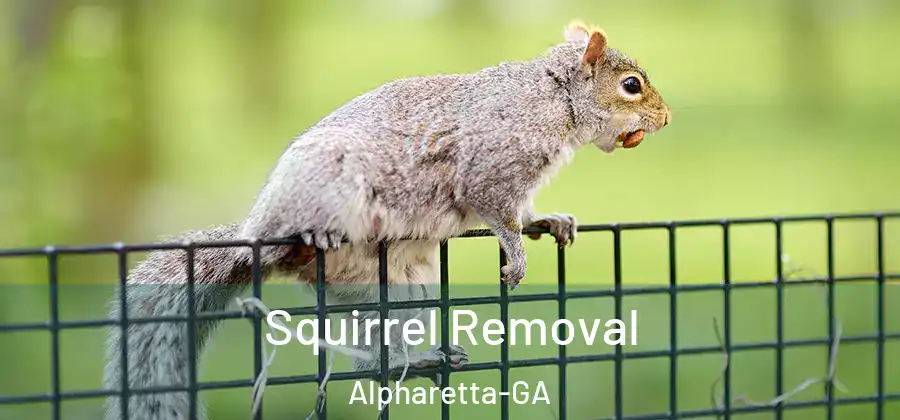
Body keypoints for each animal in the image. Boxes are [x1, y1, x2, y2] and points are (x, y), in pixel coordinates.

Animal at [102, 20, 670, 420]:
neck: (554, 97)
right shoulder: (490, 167)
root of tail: (253, 237)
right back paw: (310, 238)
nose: (666, 119)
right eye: (631, 85)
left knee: (373, 358)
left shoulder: (519, 183)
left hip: (399, 291)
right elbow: (497, 213)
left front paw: (549, 222)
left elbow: (524, 212)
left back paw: (414, 360)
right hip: (325, 187)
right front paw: (516, 256)